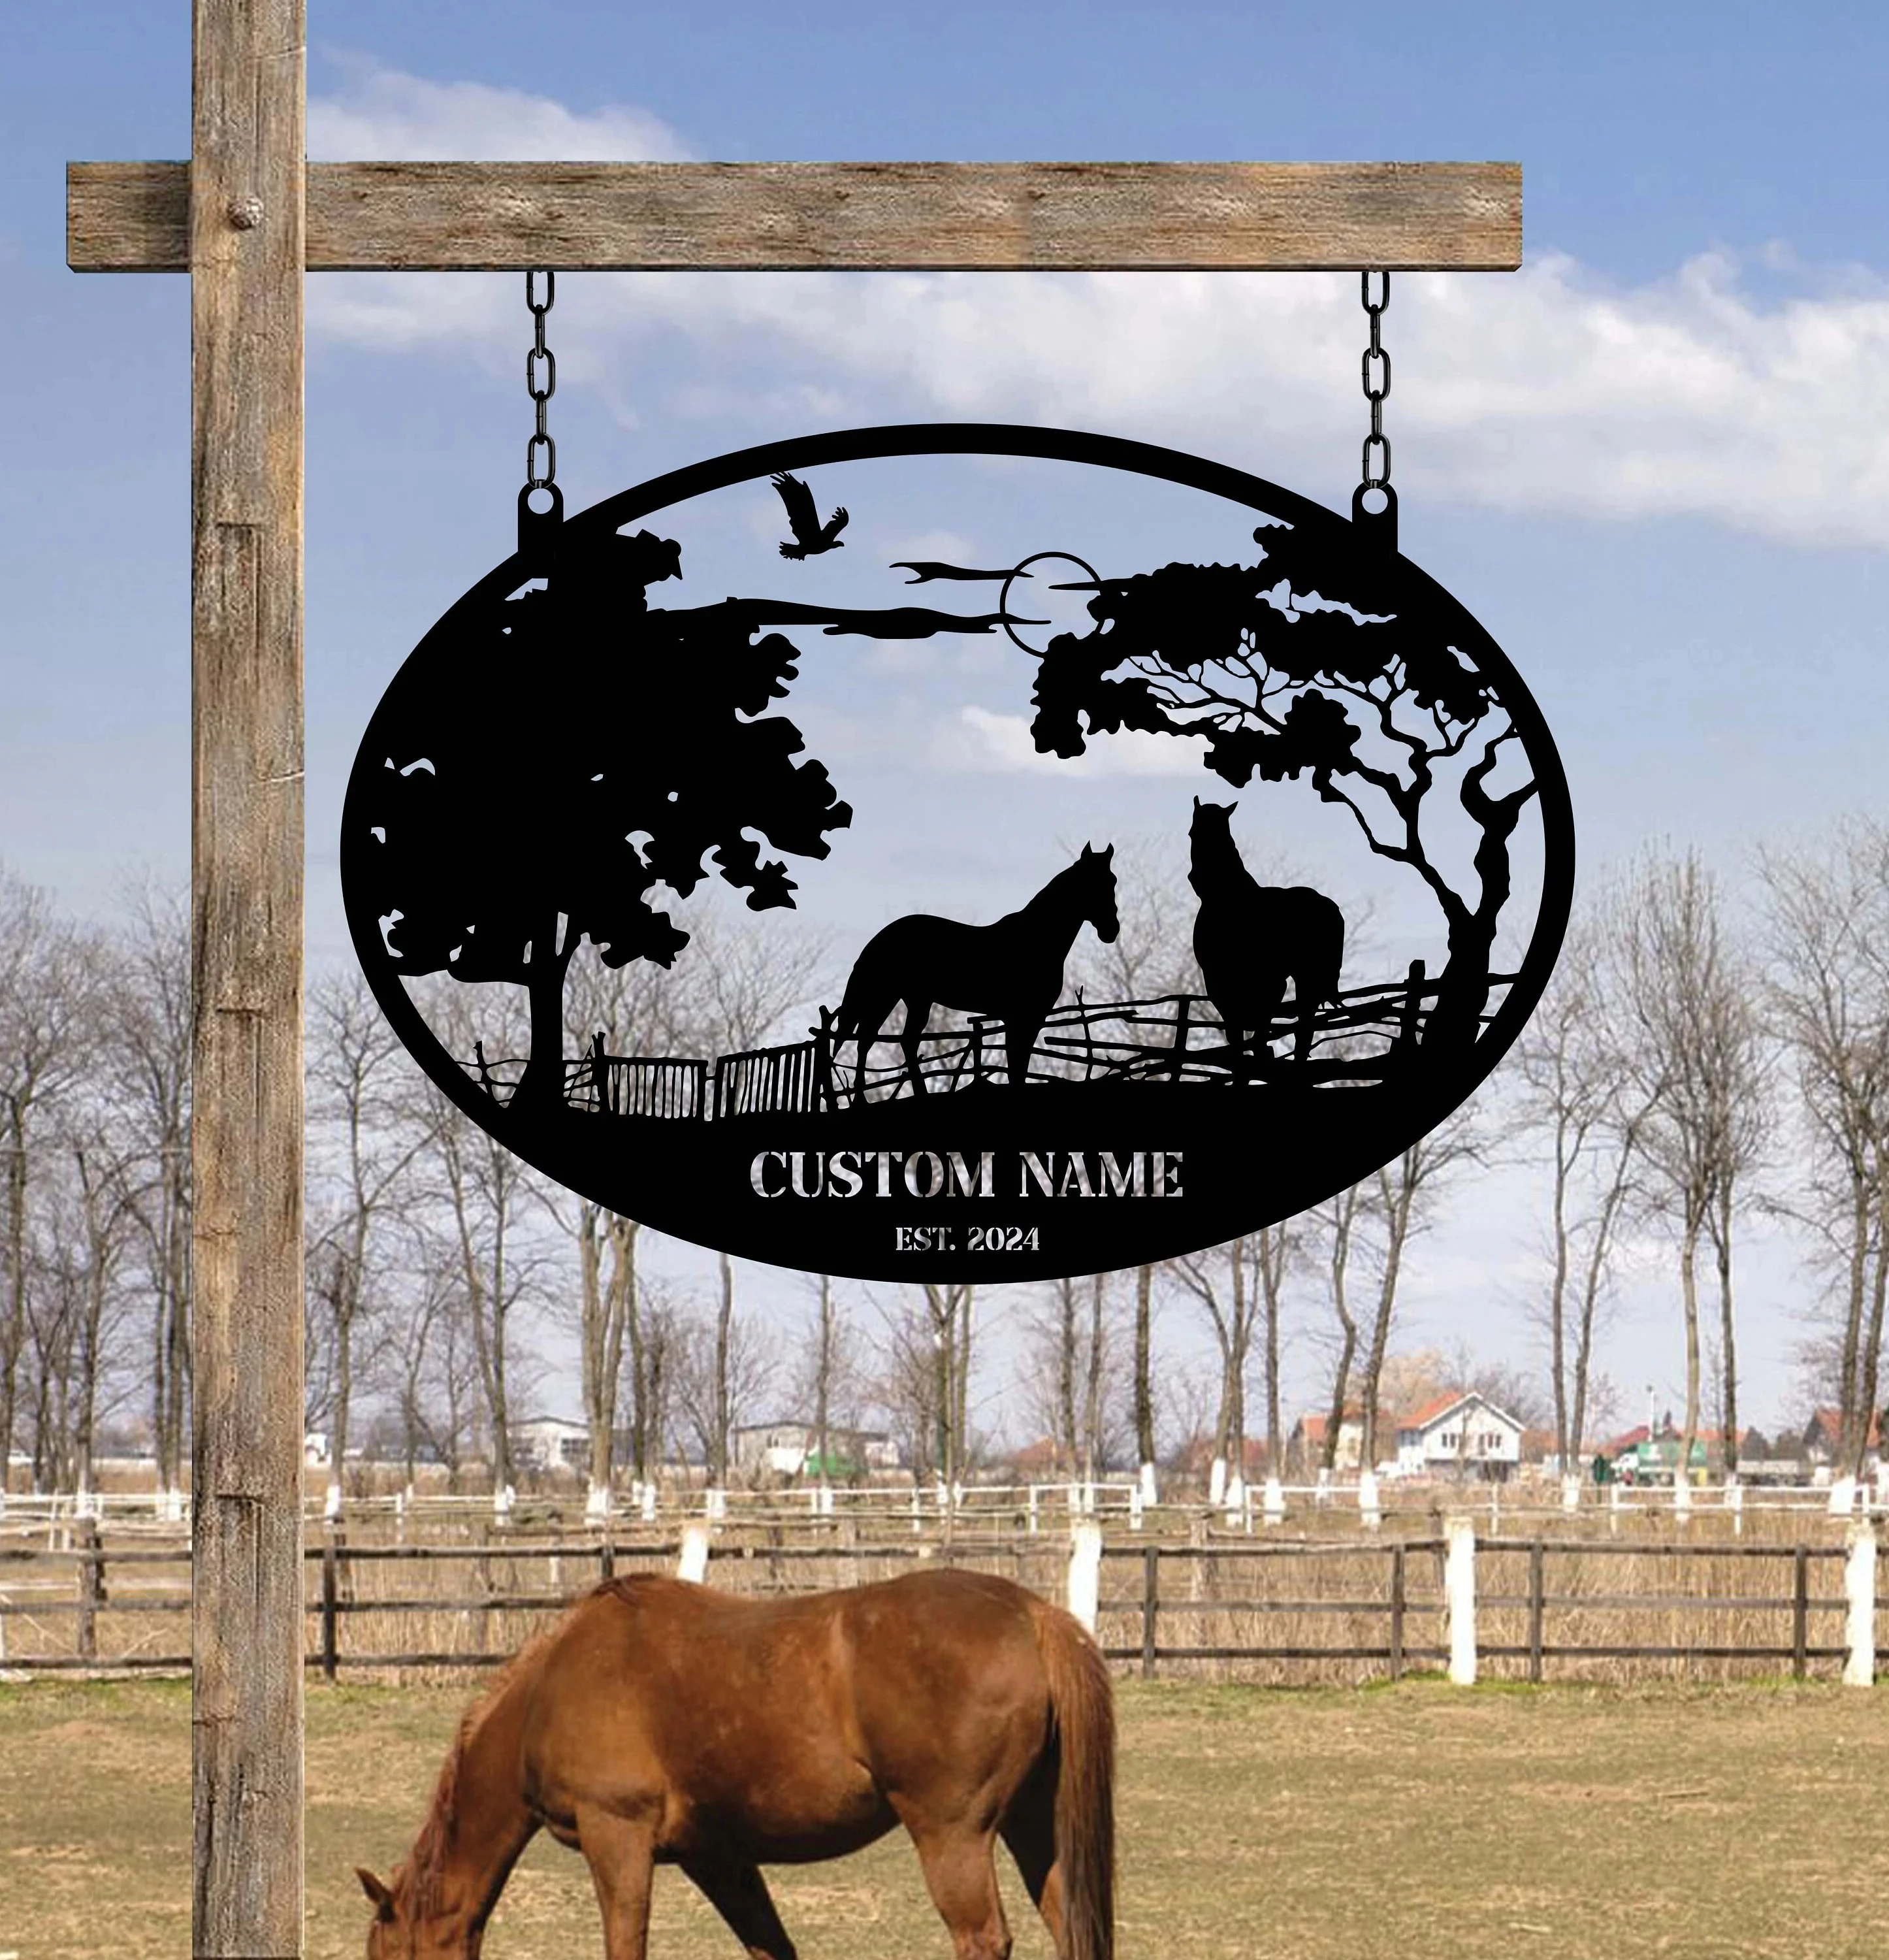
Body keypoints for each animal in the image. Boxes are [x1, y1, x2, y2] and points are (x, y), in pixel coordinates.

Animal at [357, 1567, 1115, 1960]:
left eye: (389, 1957)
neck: (551, 1687)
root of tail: (1031, 1612)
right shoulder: (717, 1857)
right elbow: (770, 1949)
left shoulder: (617, 1839)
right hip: (1033, 1832)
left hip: (952, 1838)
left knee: (982, 1938)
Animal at [831, 845, 1119, 1099]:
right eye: (1090, 883)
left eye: (1112, 881)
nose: (1111, 930)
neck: (1034, 940)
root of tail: (880, 938)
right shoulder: (1020, 1017)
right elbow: (1016, 1066)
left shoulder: (1030, 1018)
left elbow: (1020, 1065)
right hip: (885, 996)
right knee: (867, 1040)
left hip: (912, 1000)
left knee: (895, 1041)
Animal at [1188, 798, 1344, 1080]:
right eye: (1194, 833)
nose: (1197, 877)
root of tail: (1328, 906)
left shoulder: (1226, 979)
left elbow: (1246, 1026)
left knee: (1304, 1024)